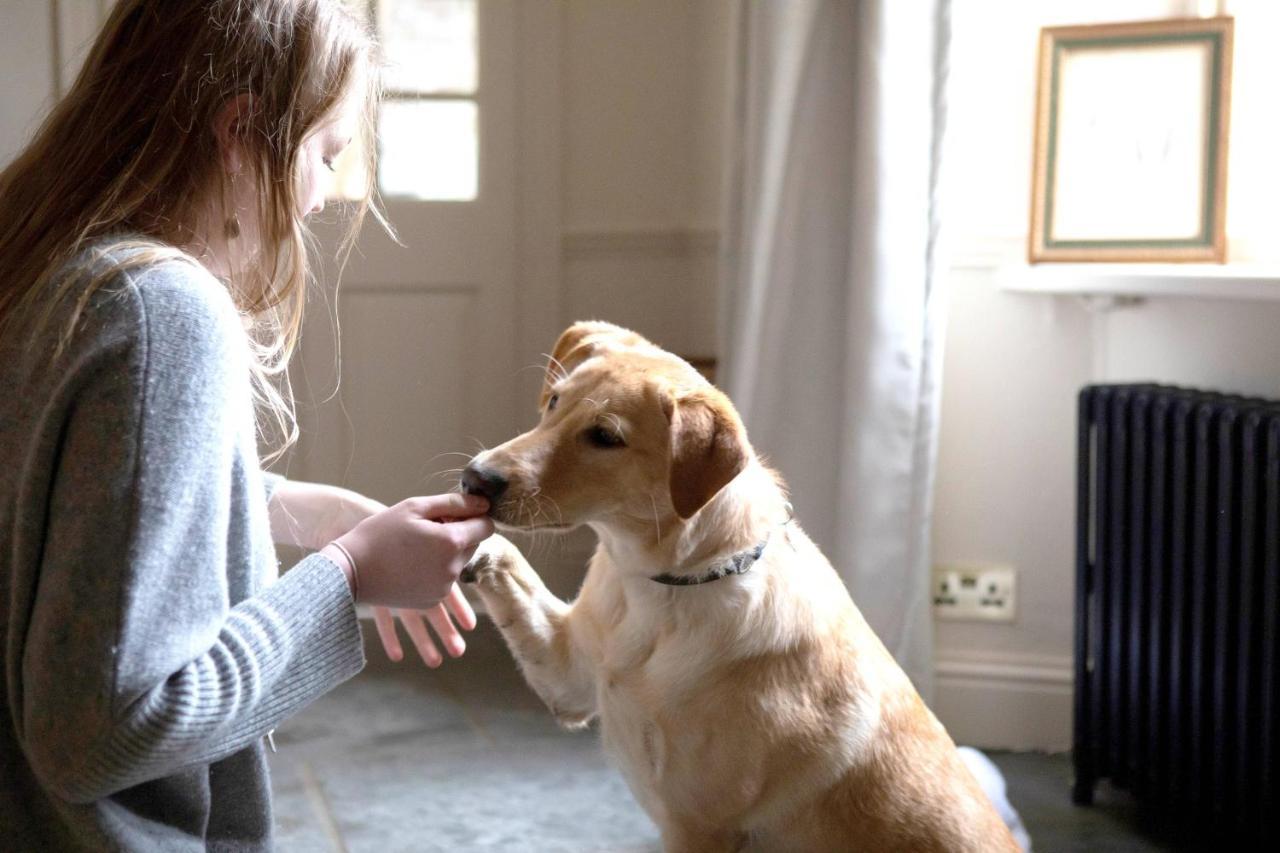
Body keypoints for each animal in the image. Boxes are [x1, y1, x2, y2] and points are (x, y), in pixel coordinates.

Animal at [460, 320, 1018, 850]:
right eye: (555, 401)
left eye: (605, 437)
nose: (474, 479)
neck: (661, 589)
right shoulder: (568, 677)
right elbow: (508, 561)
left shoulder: (697, 826)